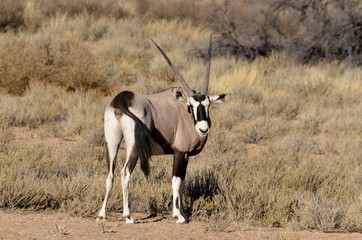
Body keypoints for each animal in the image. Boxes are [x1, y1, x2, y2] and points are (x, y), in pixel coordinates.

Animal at [97, 35, 230, 223]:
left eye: (208, 105)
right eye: (191, 106)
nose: (203, 129)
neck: (182, 111)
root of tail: (121, 101)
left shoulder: (186, 156)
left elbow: (182, 182)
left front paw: (182, 212)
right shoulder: (180, 152)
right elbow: (176, 181)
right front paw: (179, 216)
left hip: (112, 142)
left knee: (110, 175)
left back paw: (102, 214)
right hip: (134, 147)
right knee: (125, 174)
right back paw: (128, 215)